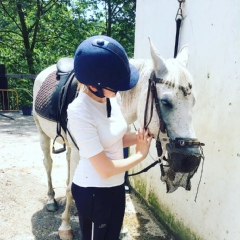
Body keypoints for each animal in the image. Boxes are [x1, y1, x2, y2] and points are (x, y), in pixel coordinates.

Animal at [32, 38, 204, 239]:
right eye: (165, 102)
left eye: (193, 102)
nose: (189, 161)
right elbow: (69, 190)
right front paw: (65, 227)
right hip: (43, 134)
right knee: (48, 164)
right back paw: (51, 200)